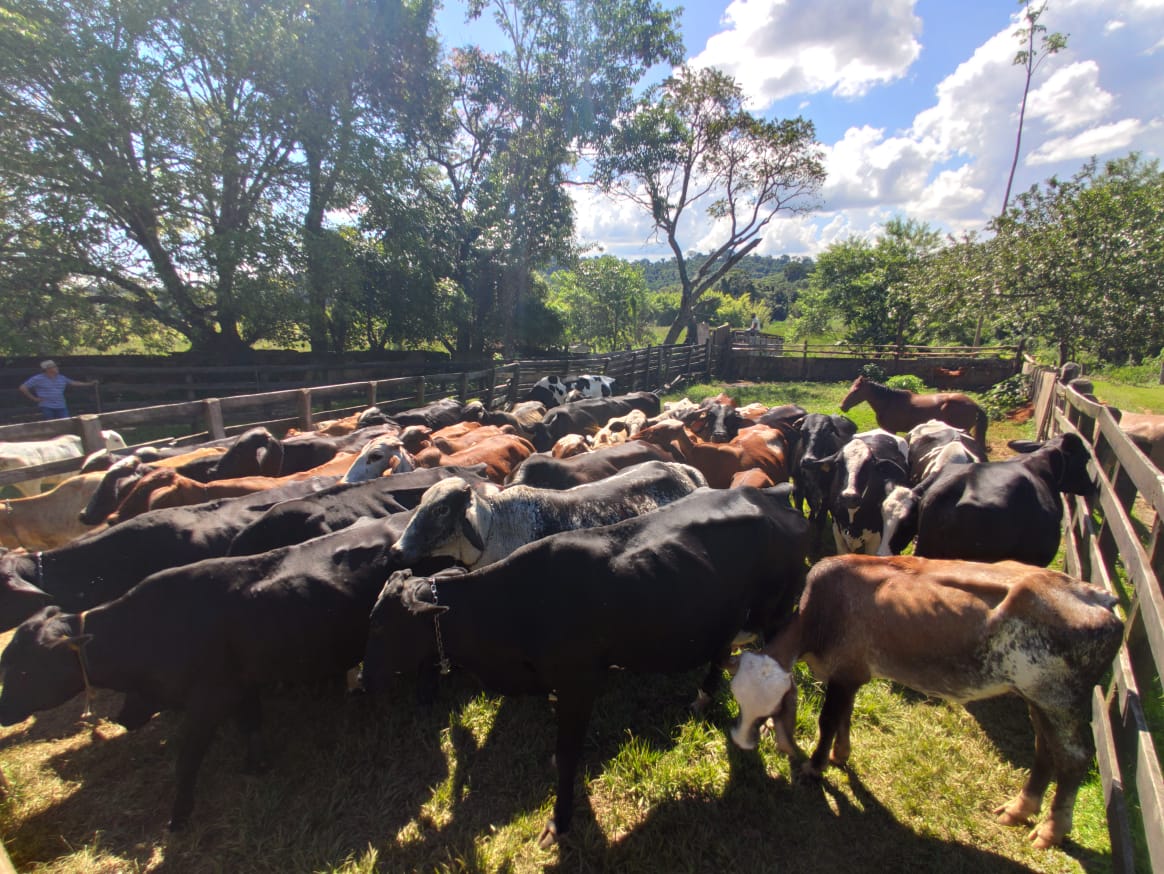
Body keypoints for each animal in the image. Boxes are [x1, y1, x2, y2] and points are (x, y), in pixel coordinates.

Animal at [0, 512, 435, 831]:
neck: (147, 628)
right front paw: (256, 764)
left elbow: (187, 758)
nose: (4, 711)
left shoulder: (209, 697)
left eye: (23, 672)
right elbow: (250, 723)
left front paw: (178, 816)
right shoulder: (240, 683)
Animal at [360, 486, 810, 847]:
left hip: (777, 613)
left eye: (379, 625)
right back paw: (703, 698)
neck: (515, 603)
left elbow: (567, 755)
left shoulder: (580, 683)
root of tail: (770, 498)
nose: (363, 680)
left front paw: (558, 823)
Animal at [726, 554, 1123, 848]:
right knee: (1044, 750)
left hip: (1059, 700)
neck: (821, 613)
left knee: (1073, 759)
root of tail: (1097, 597)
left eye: (770, 711)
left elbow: (828, 722)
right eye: (739, 702)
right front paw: (841, 753)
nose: (741, 742)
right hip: (1036, 698)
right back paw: (1020, 808)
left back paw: (1052, 829)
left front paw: (815, 765)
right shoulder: (853, 675)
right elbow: (845, 717)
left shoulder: (843, 674)